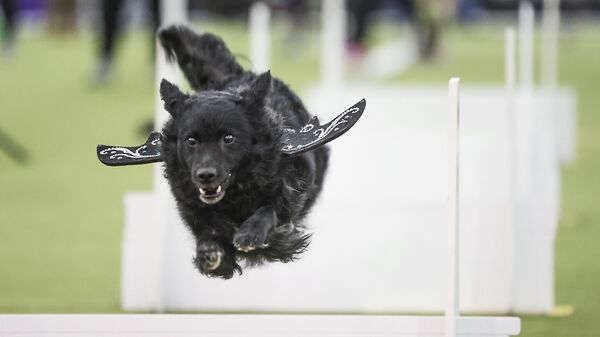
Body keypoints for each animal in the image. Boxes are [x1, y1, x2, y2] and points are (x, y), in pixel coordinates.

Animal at [156, 25, 328, 278]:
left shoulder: (288, 193)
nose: (205, 175)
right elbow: (209, 232)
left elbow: (271, 209)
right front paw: (208, 251)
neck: (234, 192)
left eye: (229, 138)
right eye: (191, 141)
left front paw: (250, 233)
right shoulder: (193, 207)